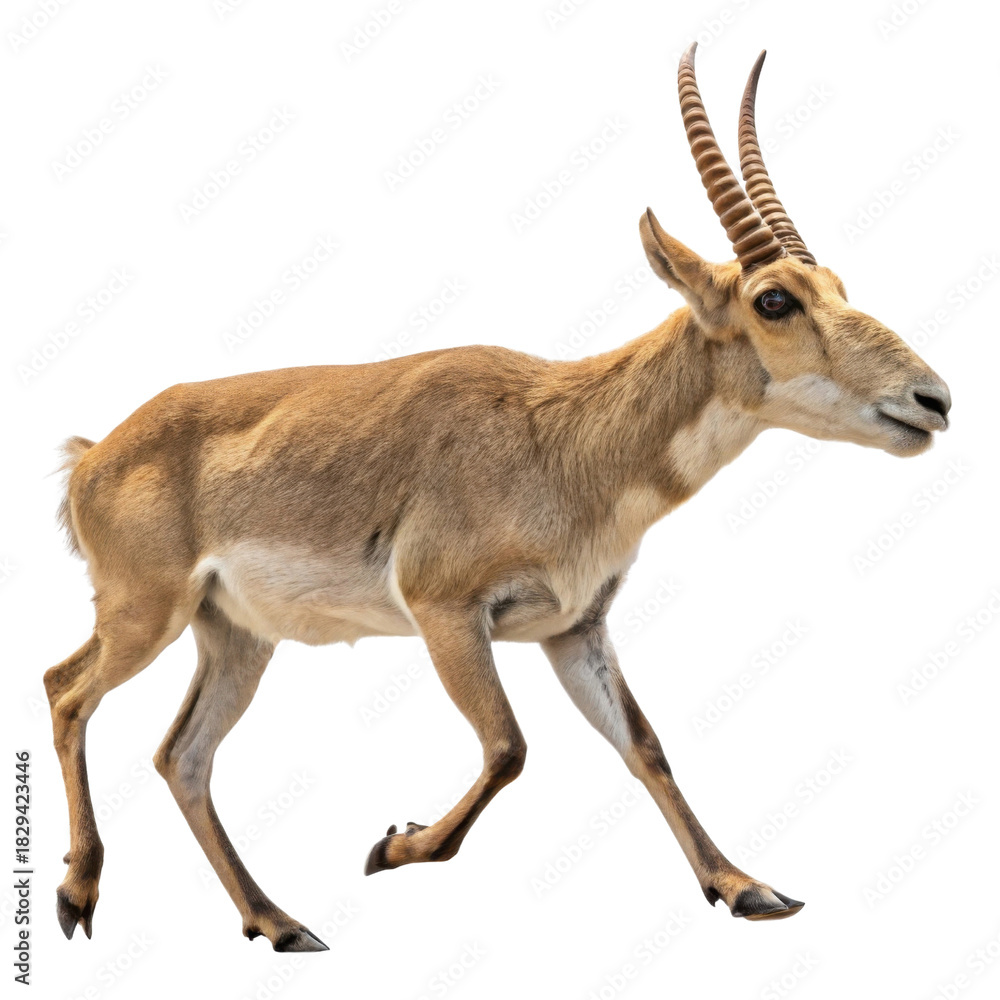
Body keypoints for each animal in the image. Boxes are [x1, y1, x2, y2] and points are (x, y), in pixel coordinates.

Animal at [46, 42, 951, 952]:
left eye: (836, 285)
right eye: (774, 300)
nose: (933, 400)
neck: (562, 439)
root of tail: (95, 456)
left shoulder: (574, 629)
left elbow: (645, 745)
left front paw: (748, 888)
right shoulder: (447, 611)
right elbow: (510, 747)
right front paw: (390, 846)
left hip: (235, 636)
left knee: (182, 756)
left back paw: (281, 923)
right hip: (147, 613)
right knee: (67, 689)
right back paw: (77, 897)